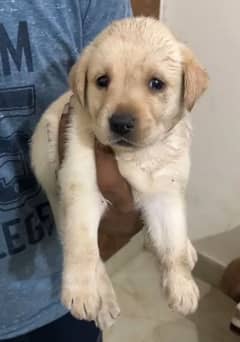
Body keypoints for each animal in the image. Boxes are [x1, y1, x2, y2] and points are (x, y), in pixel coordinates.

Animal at [31, 17, 208, 330]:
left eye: (156, 84)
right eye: (102, 81)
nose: (121, 122)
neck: (135, 155)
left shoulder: (166, 193)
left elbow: (173, 243)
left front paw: (182, 285)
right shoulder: (82, 189)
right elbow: (83, 249)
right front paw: (82, 291)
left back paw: (187, 249)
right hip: (52, 185)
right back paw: (103, 300)